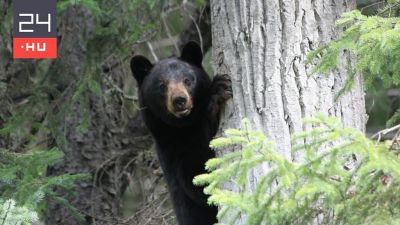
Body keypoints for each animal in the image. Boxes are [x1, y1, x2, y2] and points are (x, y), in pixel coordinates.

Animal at [131, 41, 231, 224]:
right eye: (162, 85)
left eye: (187, 80)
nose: (179, 100)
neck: (185, 127)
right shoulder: (173, 151)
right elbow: (198, 180)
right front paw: (217, 92)